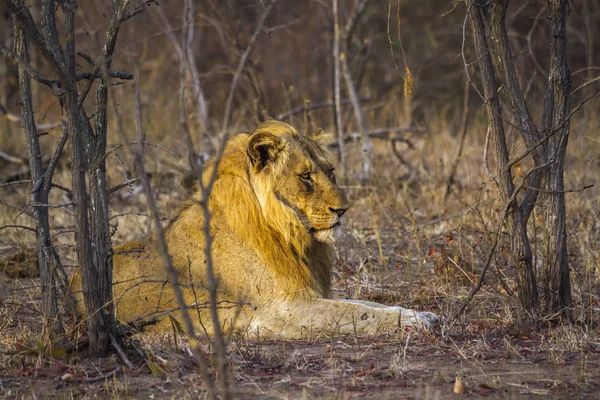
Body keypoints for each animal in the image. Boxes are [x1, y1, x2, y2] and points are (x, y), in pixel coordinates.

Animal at [72, 121, 438, 338]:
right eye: (305, 176)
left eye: (330, 171)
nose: (343, 209)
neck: (290, 233)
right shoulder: (281, 310)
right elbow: (357, 313)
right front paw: (412, 322)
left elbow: (366, 304)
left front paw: (421, 313)